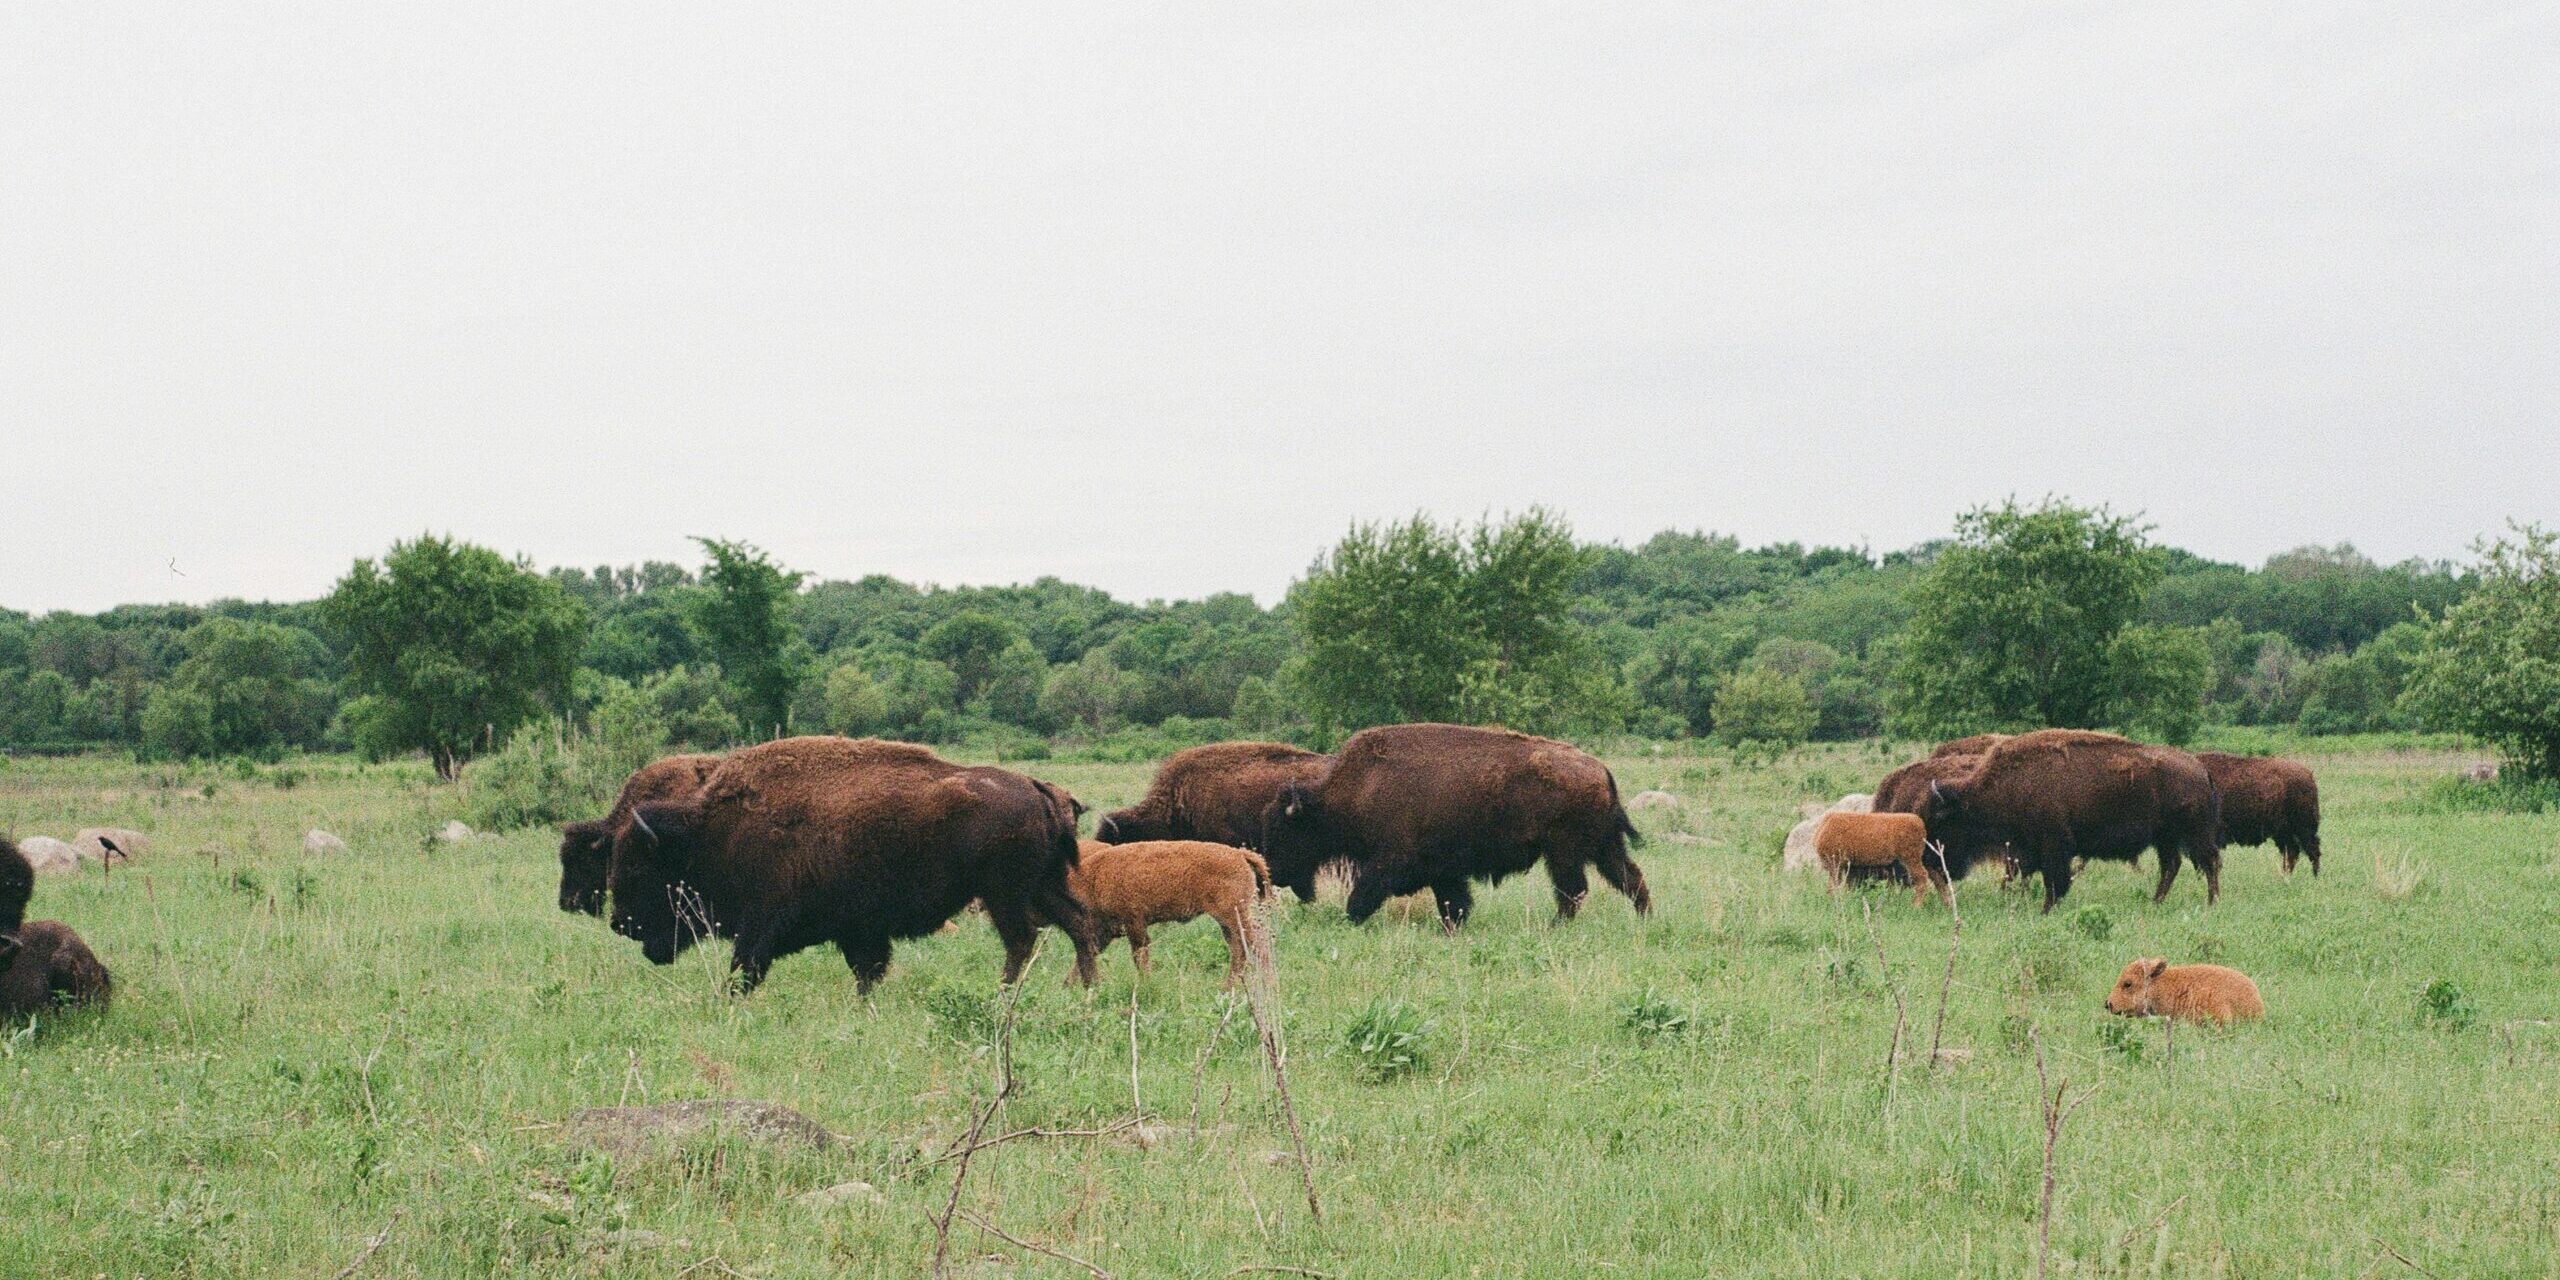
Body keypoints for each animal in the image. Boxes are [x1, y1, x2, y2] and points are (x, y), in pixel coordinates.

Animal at [610, 736, 1092, 993]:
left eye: (637, 869)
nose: (619, 923)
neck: (710, 834)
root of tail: (1035, 788)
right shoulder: (860, 929)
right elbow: (867, 969)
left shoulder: (761, 924)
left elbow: (745, 967)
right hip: (1041, 885)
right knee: (1078, 923)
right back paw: (1086, 988)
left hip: (1003, 893)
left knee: (1022, 939)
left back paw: (1004, 993)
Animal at [1260, 723, 1649, 929]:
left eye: (1284, 830)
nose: (1272, 873)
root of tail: (1600, 768)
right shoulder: (1443, 871)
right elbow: (1454, 901)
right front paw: (1453, 927)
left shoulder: (1389, 861)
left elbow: (1363, 895)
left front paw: (1351, 919)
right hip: (1602, 846)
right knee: (1628, 878)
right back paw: (1644, 918)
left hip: (1564, 852)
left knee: (1573, 889)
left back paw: (1556, 926)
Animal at [1913, 729, 2223, 910]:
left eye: (1939, 821)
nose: (1928, 860)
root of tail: (2199, 769)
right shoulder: (2025, 850)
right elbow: (2023, 874)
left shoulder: (2053, 845)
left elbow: (2054, 880)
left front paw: (2046, 909)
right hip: (2165, 838)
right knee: (2172, 866)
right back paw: (2155, 903)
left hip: (2193, 833)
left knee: (2209, 863)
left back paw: (2212, 903)